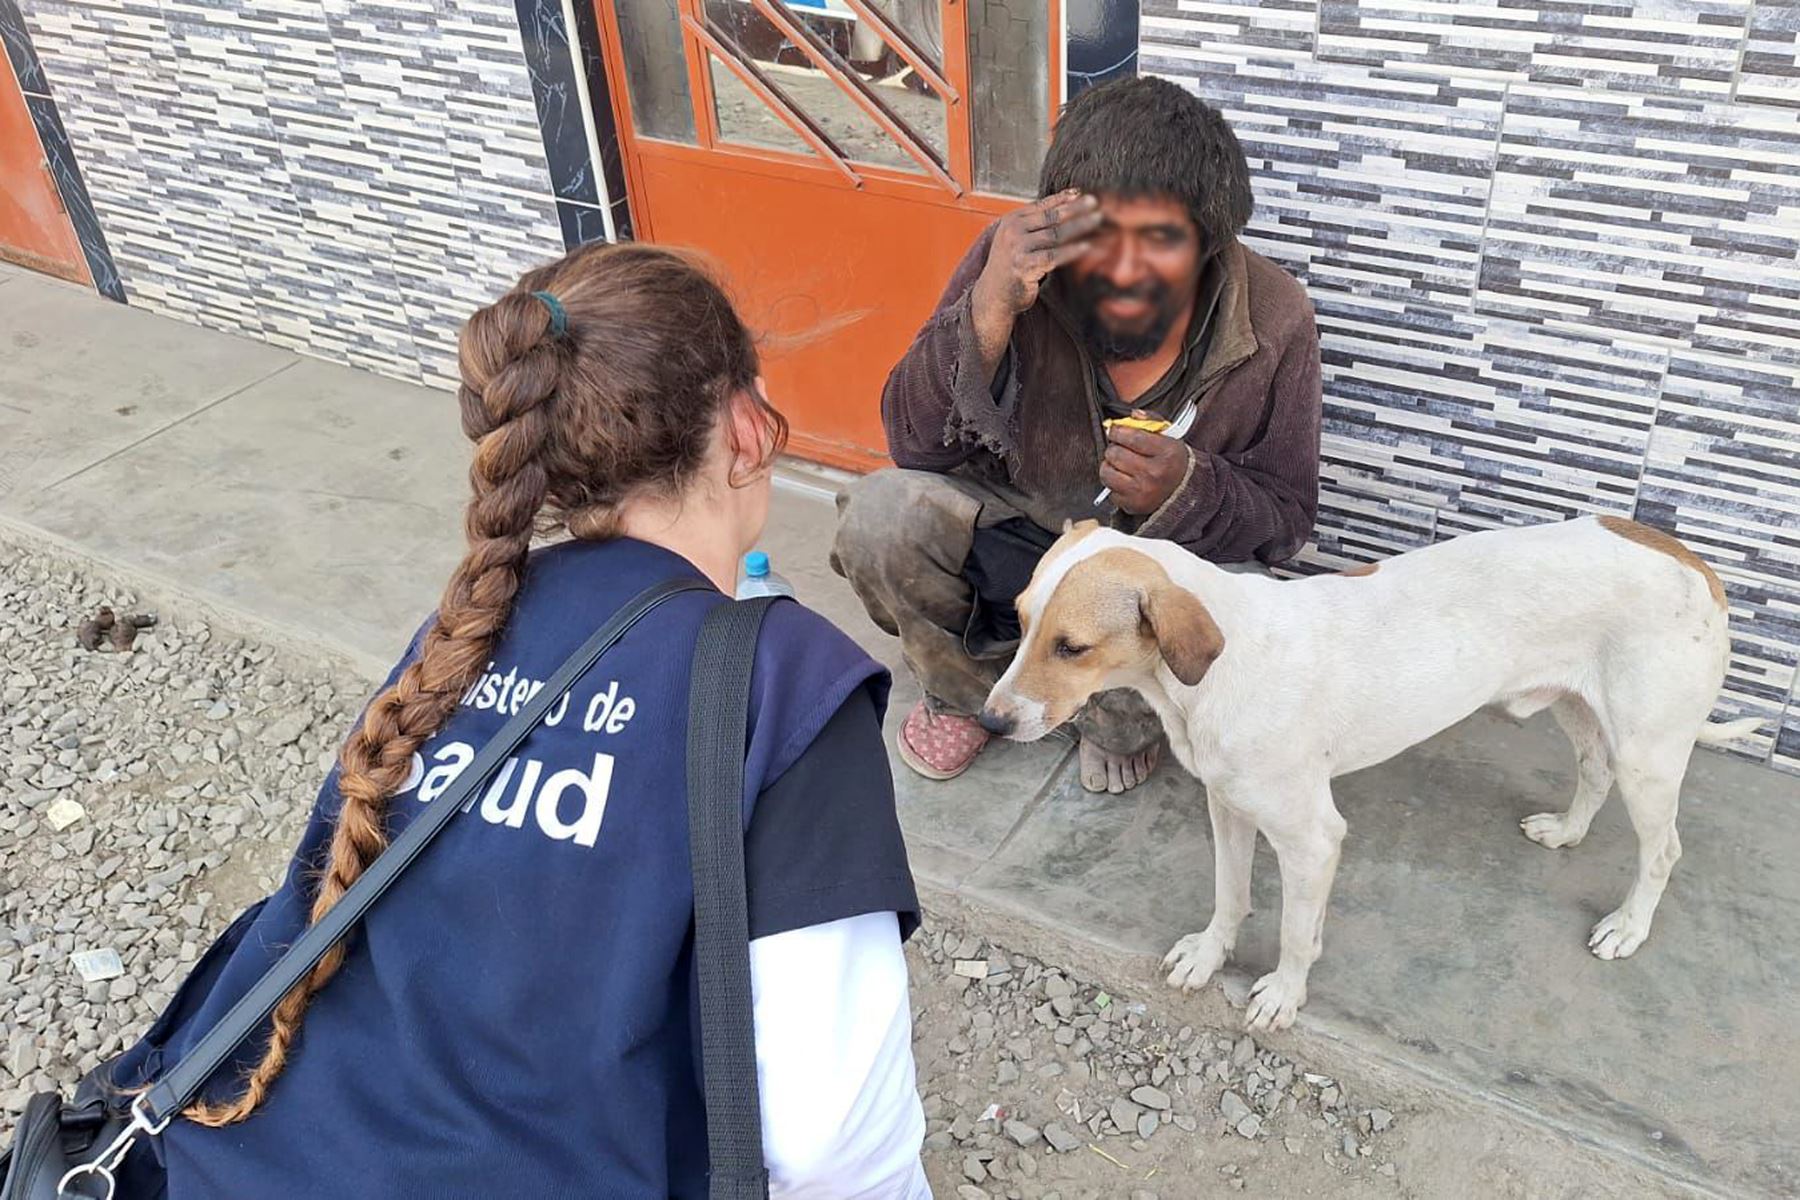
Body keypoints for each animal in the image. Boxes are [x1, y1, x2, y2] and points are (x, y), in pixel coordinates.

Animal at [986, 518, 1756, 1036]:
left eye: (1072, 647)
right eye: (1019, 620)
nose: (990, 721)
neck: (1214, 672)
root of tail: (1685, 553)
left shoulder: (1312, 839)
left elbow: (1296, 933)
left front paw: (1284, 994)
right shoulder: (1228, 806)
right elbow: (1230, 896)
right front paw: (1210, 954)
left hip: (1648, 754)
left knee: (1663, 851)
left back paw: (1628, 926)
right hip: (1583, 712)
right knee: (1593, 772)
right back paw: (1567, 830)